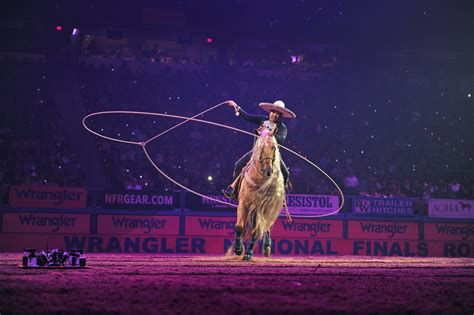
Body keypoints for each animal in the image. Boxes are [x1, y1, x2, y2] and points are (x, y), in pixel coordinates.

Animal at [233, 128, 286, 262]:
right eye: (260, 147)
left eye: (274, 147)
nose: (268, 171)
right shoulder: (243, 203)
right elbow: (239, 227)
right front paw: (238, 249)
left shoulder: (263, 209)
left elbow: (256, 231)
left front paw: (248, 253)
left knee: (264, 227)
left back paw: (266, 247)